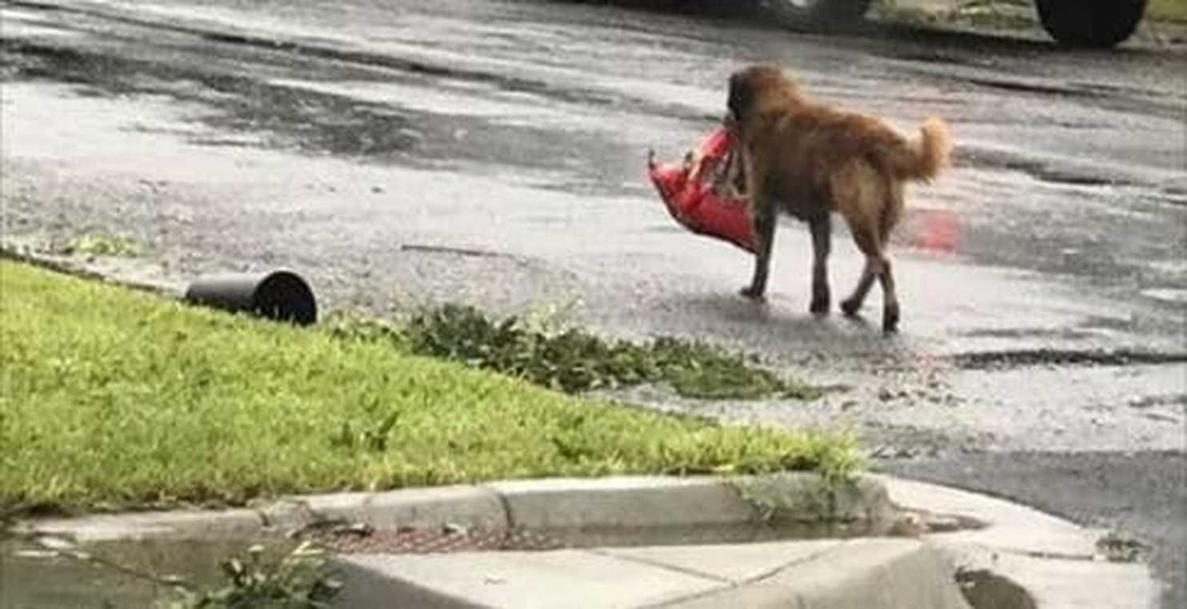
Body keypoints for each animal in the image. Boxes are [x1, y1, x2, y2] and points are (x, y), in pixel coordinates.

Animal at [726, 65, 949, 332]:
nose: (727, 119)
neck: (776, 103)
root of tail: (877, 137)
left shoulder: (764, 208)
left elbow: (764, 256)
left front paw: (755, 290)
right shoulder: (819, 215)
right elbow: (820, 258)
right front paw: (820, 301)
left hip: (859, 217)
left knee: (882, 263)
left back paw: (890, 315)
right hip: (880, 221)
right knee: (873, 264)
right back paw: (853, 303)